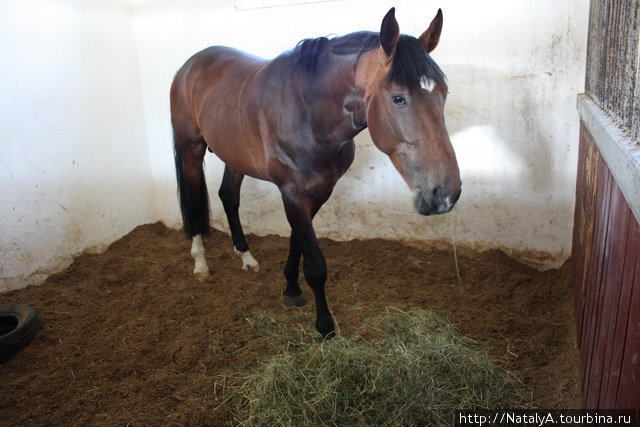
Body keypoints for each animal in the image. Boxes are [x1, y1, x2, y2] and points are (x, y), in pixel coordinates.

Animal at [170, 8, 460, 340]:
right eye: (398, 98)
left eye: (443, 93)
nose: (446, 193)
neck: (308, 112)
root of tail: (191, 64)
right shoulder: (293, 192)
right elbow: (316, 265)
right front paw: (324, 325)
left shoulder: (320, 190)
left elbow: (297, 242)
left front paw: (291, 287)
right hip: (191, 150)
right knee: (194, 201)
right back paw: (200, 264)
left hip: (235, 154)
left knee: (229, 197)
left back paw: (246, 258)